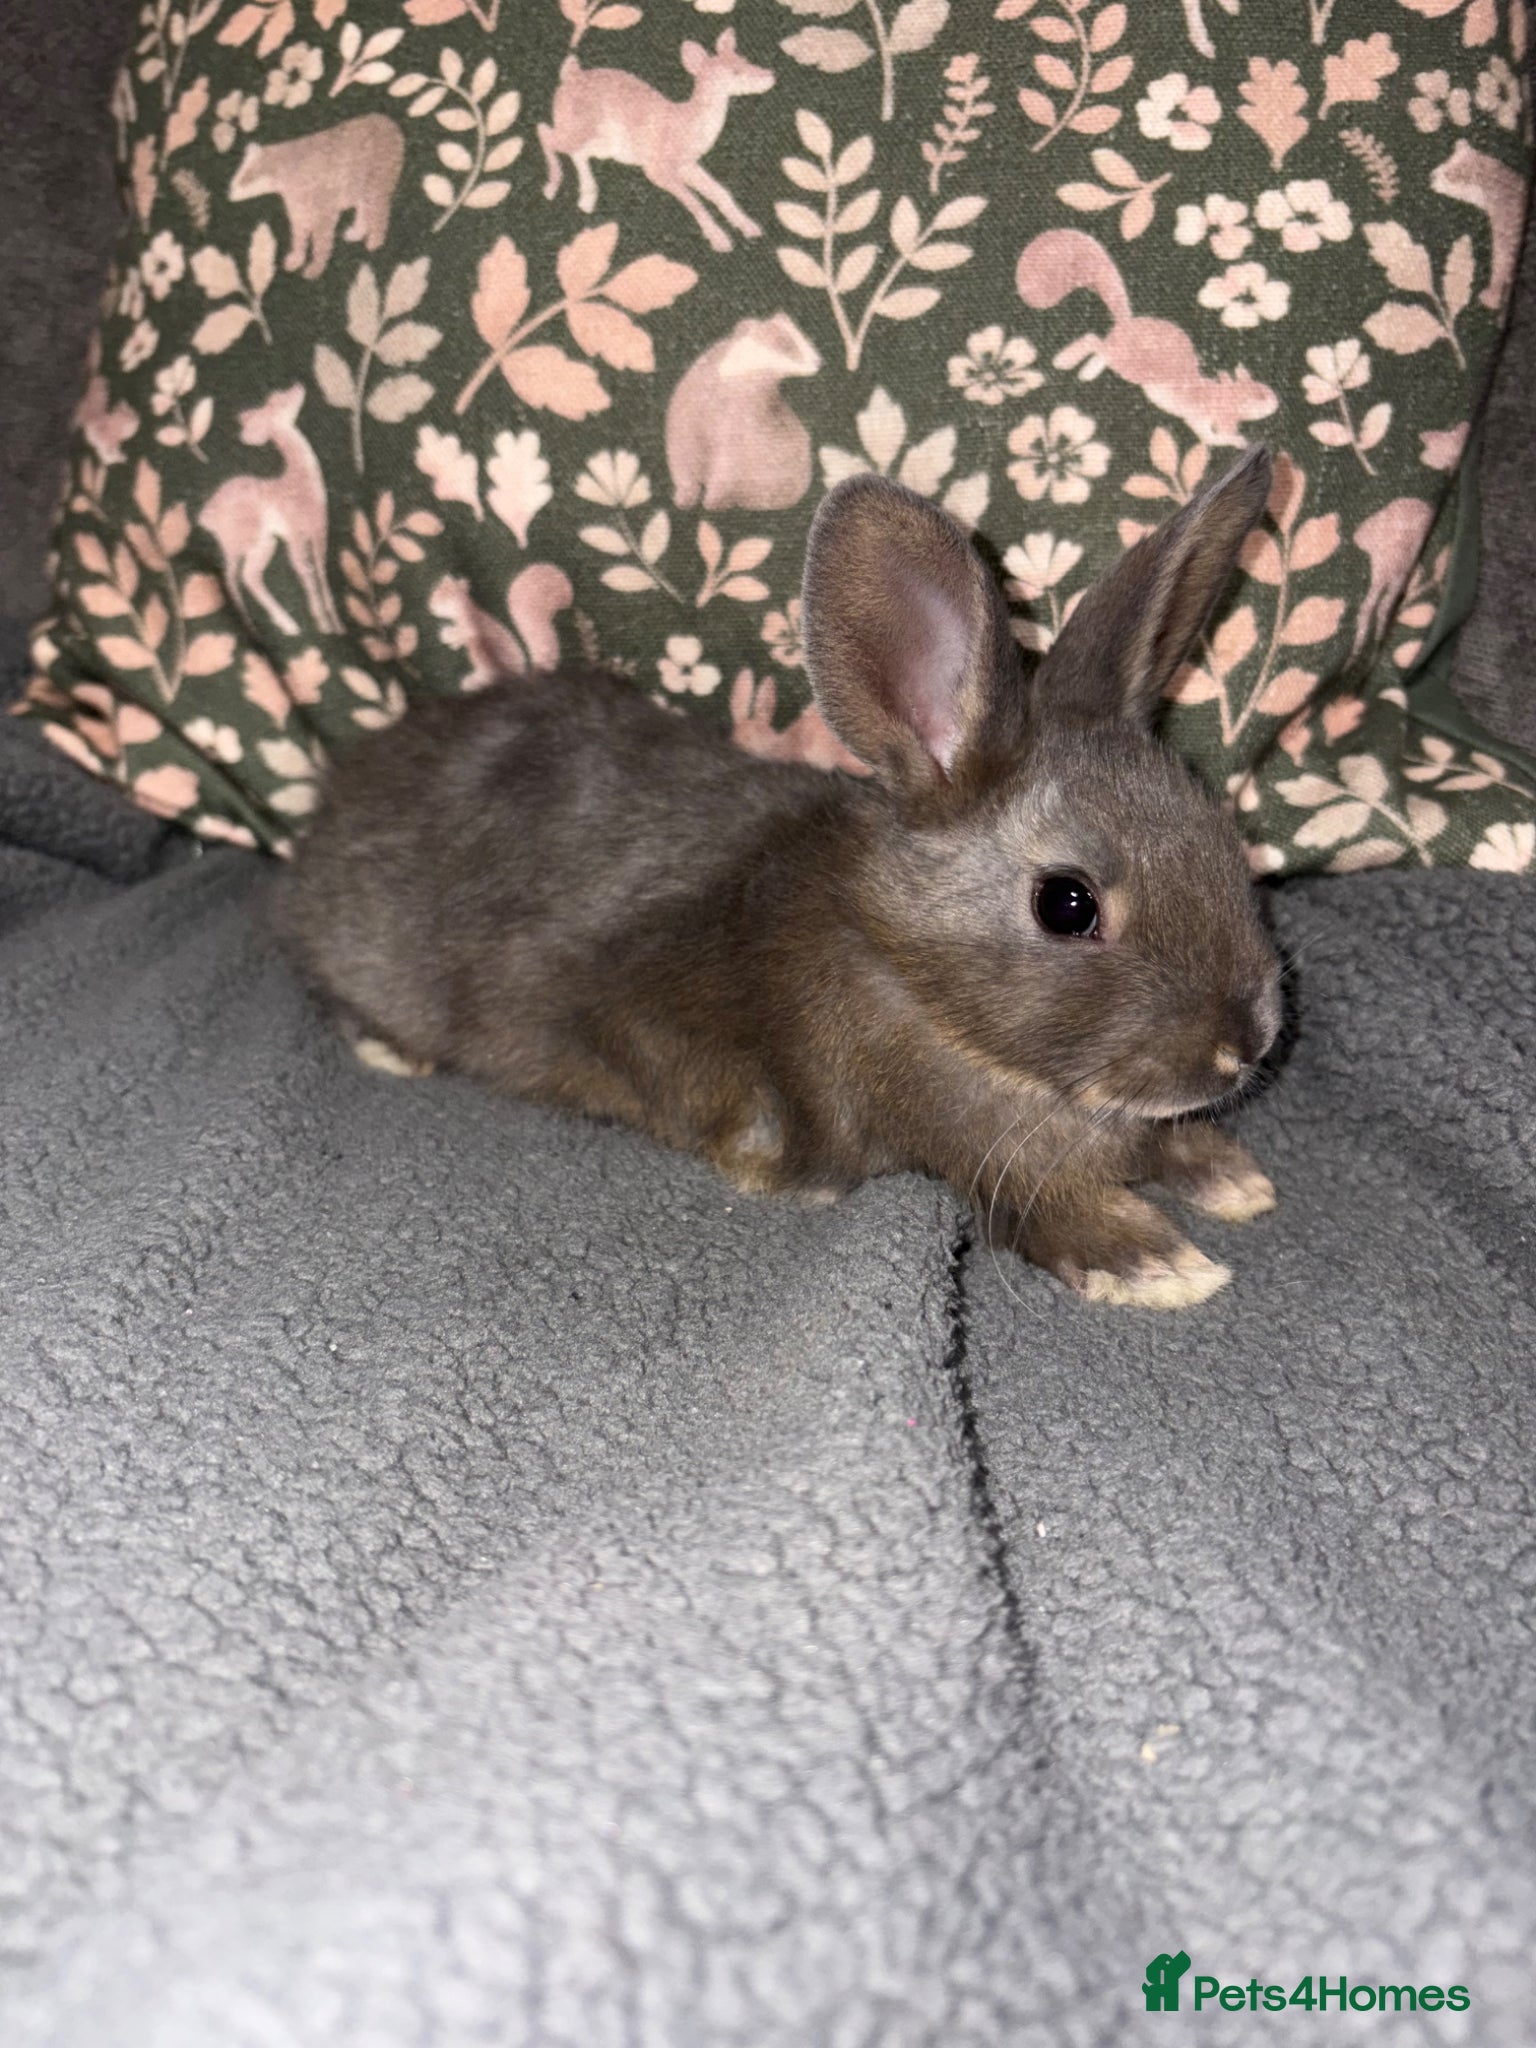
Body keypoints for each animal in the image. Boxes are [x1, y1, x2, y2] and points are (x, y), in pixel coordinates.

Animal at [279, 449, 1282, 1309]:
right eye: (1067, 904)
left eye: (1217, 829)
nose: (1244, 1045)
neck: (913, 983)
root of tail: (338, 800)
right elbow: (1044, 1205)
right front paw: (1157, 1263)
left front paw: (1230, 1174)